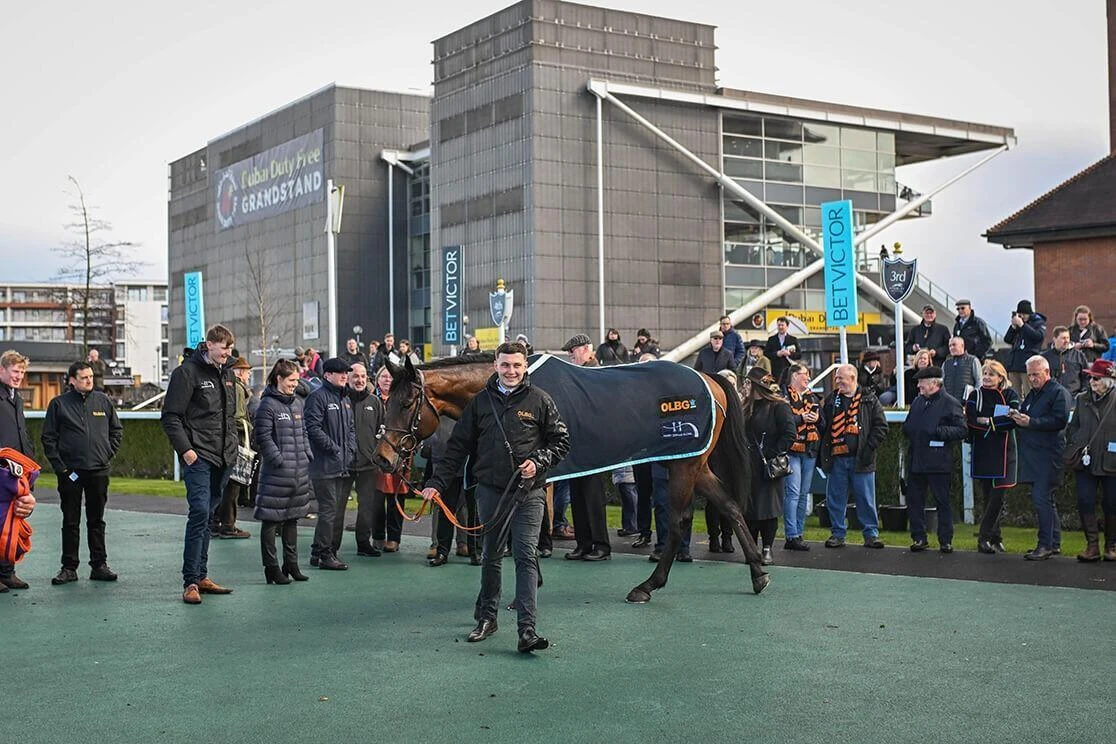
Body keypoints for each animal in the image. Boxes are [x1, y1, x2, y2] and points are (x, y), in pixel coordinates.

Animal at [370, 352, 772, 602]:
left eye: (407, 403)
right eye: (385, 399)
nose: (383, 458)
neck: (513, 391)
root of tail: (710, 379)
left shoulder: (535, 476)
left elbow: (527, 534)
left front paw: (528, 586)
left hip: (682, 464)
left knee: (678, 521)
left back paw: (647, 586)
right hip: (694, 462)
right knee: (730, 506)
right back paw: (757, 573)